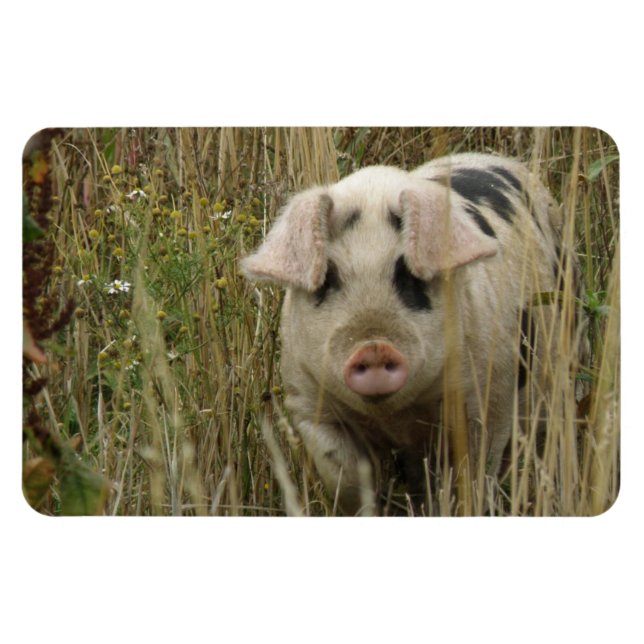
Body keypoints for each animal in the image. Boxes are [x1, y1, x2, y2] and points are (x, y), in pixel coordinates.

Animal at [242, 153, 577, 515]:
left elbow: (473, 474)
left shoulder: (490, 397)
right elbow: (344, 476)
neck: (396, 417)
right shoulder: (308, 402)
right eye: (328, 278)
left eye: (409, 275)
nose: (374, 348)